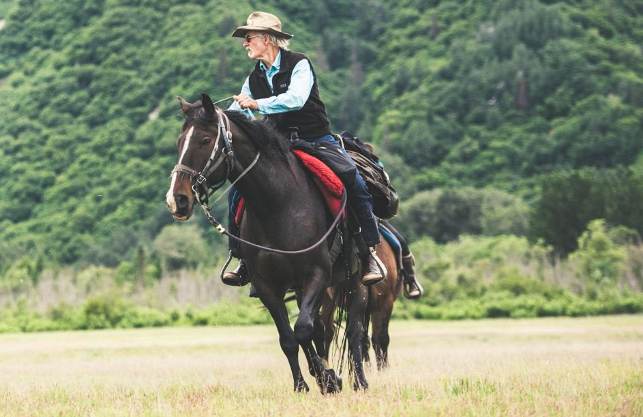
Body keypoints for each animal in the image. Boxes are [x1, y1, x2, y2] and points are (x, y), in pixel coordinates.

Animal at [169, 92, 378, 392]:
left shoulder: (316, 274)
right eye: (179, 142)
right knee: (320, 330)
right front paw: (306, 383)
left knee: (353, 331)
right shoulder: (267, 286)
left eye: (205, 140)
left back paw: (359, 381)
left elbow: (303, 330)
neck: (278, 205)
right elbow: (290, 338)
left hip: (356, 284)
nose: (178, 200)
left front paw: (327, 378)